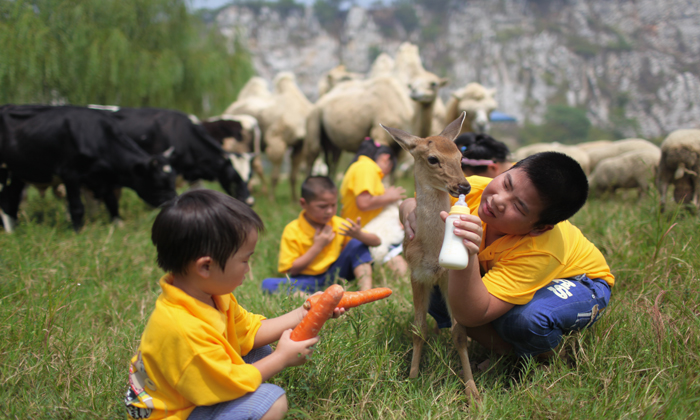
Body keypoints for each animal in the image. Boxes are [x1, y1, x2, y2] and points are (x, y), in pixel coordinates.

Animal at [0, 103, 178, 231]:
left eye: (173, 180)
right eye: (159, 182)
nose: (174, 202)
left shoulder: (102, 178)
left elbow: (112, 202)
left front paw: (118, 225)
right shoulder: (70, 174)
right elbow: (77, 207)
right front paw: (78, 231)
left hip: (18, 173)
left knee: (12, 198)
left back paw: (15, 227)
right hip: (3, 170)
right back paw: (10, 232)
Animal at [224, 72, 312, 202]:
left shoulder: (300, 144)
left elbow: (293, 175)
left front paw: (294, 199)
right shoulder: (276, 140)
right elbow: (275, 175)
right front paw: (271, 199)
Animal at [382, 113, 482, 402]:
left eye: (461, 156)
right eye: (433, 158)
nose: (463, 185)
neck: (434, 253)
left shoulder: (450, 279)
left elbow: (459, 333)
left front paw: (472, 391)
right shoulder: (416, 275)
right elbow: (418, 329)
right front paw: (413, 376)